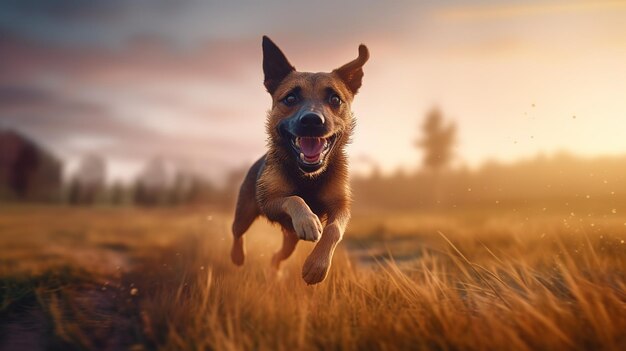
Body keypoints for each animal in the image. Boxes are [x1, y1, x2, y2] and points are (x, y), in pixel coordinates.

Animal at [229, 35, 366, 284]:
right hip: (244, 213)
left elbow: (334, 229)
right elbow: (293, 198)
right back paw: (237, 256)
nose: (312, 120)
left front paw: (316, 265)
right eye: (290, 98)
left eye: (335, 99)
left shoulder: (341, 207)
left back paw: (275, 270)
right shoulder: (270, 201)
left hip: (290, 241)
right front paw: (307, 220)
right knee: (236, 232)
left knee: (278, 255)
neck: (307, 177)